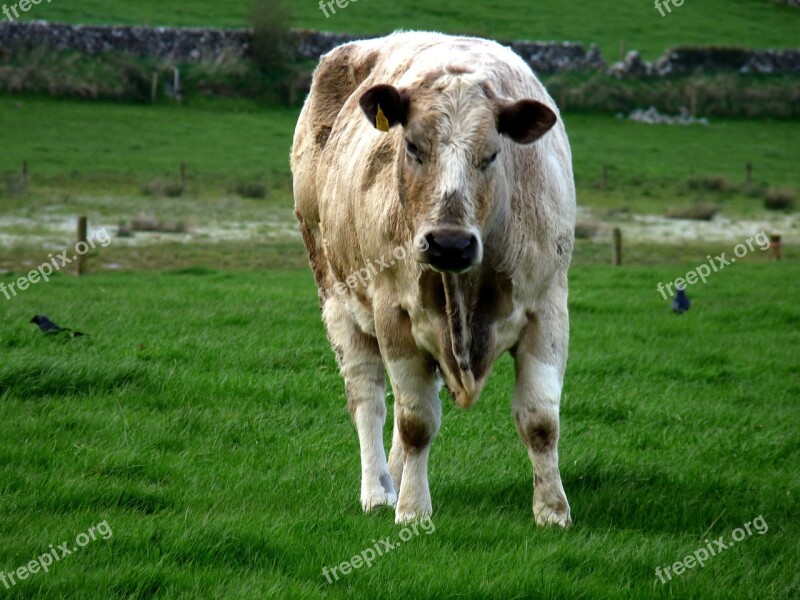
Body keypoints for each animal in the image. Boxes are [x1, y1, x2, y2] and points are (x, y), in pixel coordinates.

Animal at [292, 31, 576, 524]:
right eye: (412, 147)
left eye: (492, 154)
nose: (449, 244)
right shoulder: (394, 314)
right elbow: (415, 422)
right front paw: (412, 509)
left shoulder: (548, 307)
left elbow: (541, 420)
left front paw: (552, 511)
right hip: (336, 298)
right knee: (368, 399)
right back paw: (378, 490)